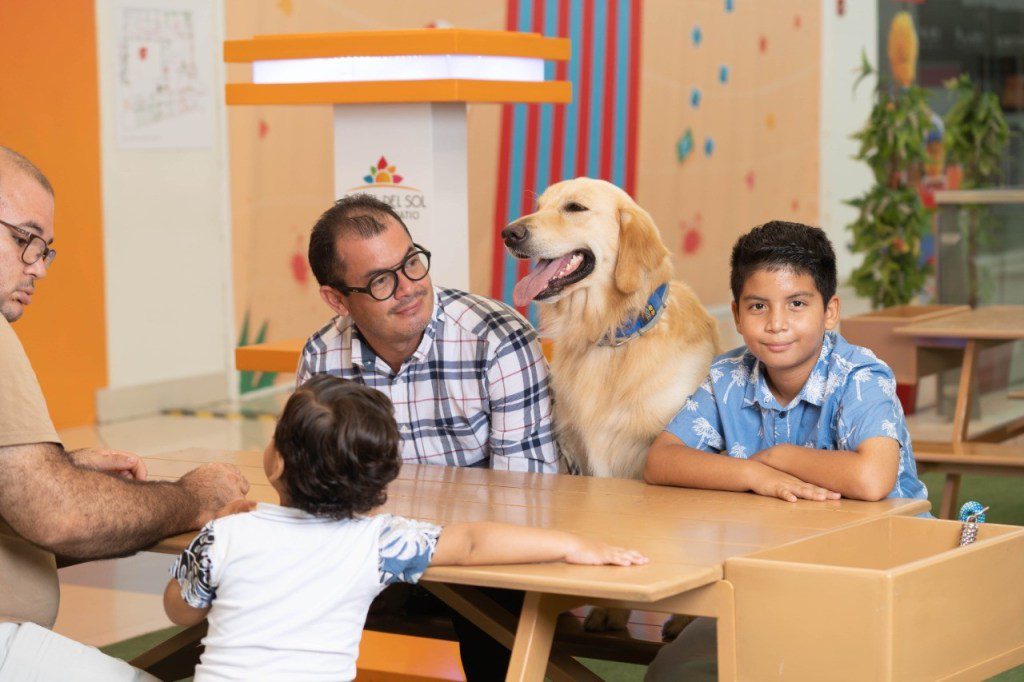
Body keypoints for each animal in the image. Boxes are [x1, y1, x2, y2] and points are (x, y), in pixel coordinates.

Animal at [499, 176, 716, 630]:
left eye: (575, 208)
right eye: (540, 206)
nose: (509, 233)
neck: (612, 334)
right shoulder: (584, 455)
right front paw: (608, 611)